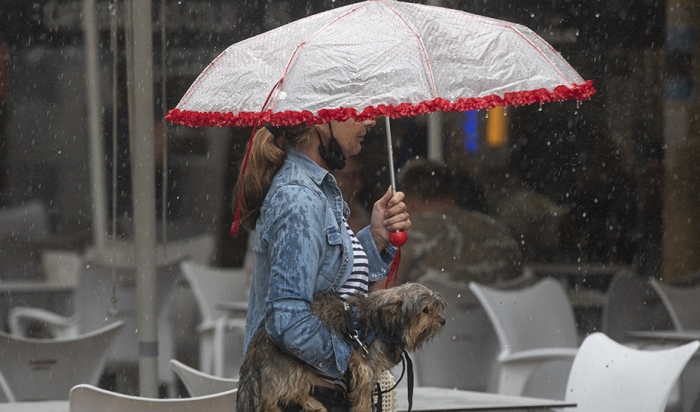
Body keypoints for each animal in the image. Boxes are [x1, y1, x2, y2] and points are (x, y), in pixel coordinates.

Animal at [238, 282, 446, 412]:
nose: (442, 321)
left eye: (438, 306)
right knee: (270, 398)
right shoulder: (365, 368)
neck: (382, 322)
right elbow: (363, 399)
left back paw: (313, 404)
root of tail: (256, 344)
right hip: (292, 366)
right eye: (426, 310)